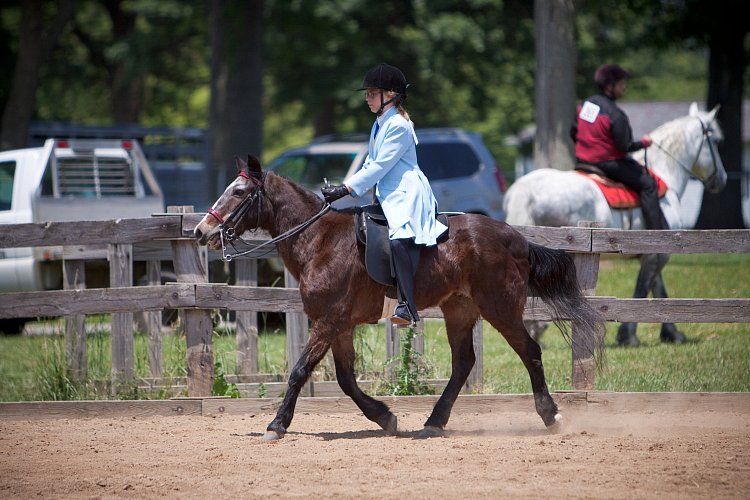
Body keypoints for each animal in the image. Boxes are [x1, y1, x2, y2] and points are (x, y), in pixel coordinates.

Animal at [194, 154, 604, 440]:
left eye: (239, 192)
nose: (201, 231)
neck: (321, 242)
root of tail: (516, 238)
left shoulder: (328, 322)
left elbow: (299, 371)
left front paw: (277, 424)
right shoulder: (338, 326)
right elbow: (345, 379)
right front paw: (385, 417)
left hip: (500, 308)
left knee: (529, 351)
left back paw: (551, 415)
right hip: (460, 309)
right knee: (463, 363)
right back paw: (434, 421)